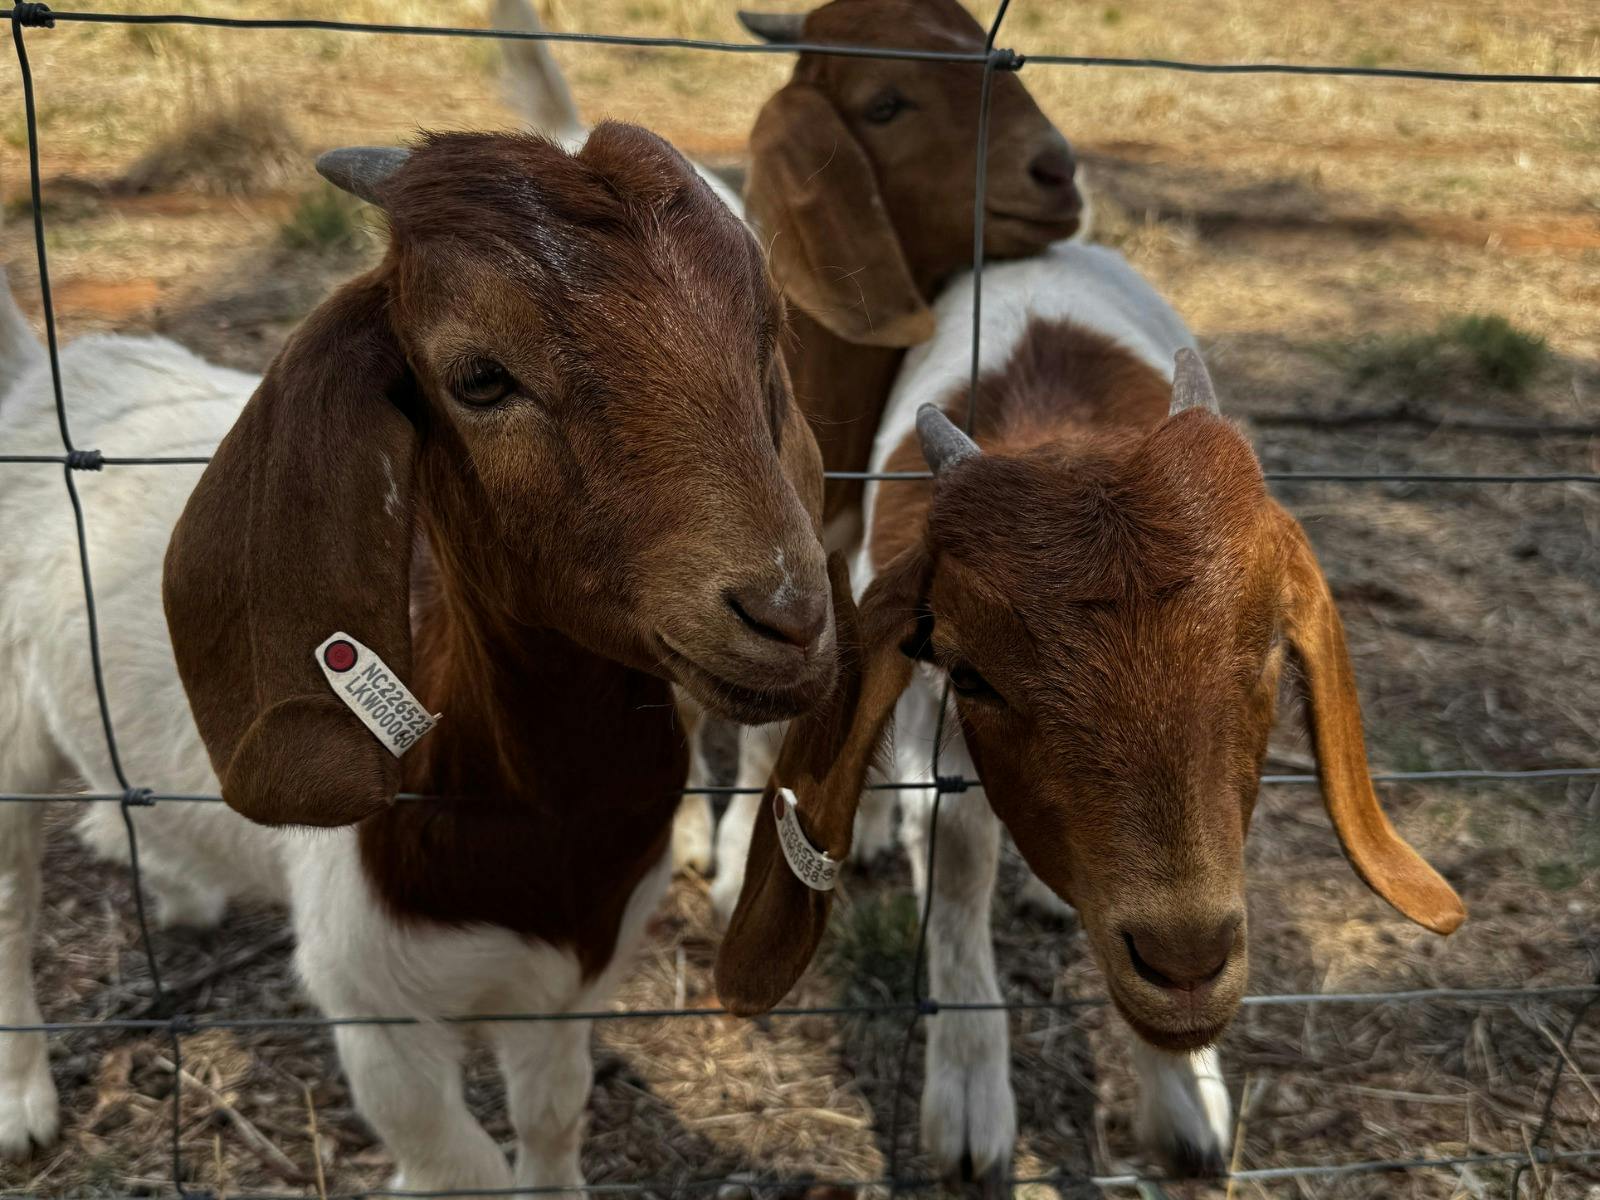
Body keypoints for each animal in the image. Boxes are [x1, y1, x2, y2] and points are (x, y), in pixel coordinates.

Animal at [0, 126, 836, 1191]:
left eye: (767, 333)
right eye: (479, 377)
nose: (788, 616)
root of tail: (43, 376)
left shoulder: (571, 983)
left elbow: (553, 1117)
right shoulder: (373, 1007)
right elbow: (460, 1164)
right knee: (11, 900)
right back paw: (22, 1100)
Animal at [714, 241, 1466, 1184]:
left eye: (1266, 647)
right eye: (975, 674)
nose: (1185, 962)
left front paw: (1186, 1100)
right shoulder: (933, 720)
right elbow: (957, 862)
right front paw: (971, 1108)